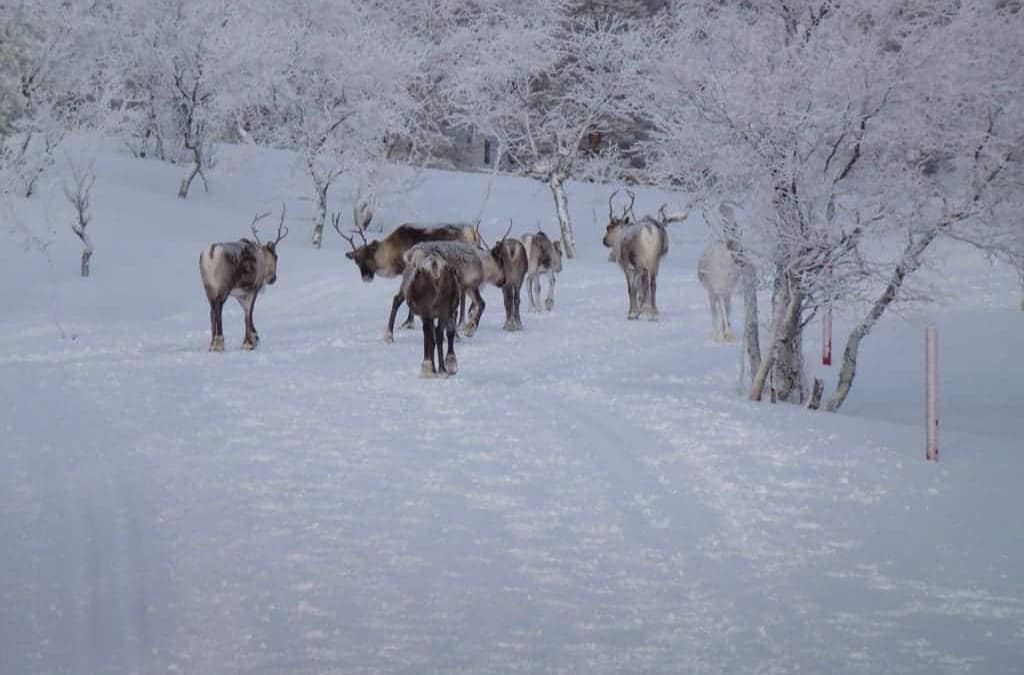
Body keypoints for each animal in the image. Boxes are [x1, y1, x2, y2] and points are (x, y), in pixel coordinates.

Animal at [200, 207, 289, 351]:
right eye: (276, 256)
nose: (273, 279)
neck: (262, 259)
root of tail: (210, 253)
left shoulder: (239, 294)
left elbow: (246, 314)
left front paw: (254, 337)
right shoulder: (253, 288)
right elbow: (249, 313)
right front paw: (249, 343)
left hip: (208, 287)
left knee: (212, 310)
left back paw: (212, 343)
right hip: (223, 287)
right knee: (218, 308)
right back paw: (219, 343)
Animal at [602, 190, 688, 320]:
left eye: (608, 227)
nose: (604, 241)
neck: (618, 238)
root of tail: (649, 232)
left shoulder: (628, 267)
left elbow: (631, 288)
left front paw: (631, 311)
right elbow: (641, 288)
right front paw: (641, 309)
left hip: (640, 263)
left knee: (639, 286)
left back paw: (638, 314)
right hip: (654, 263)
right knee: (652, 284)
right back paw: (653, 314)